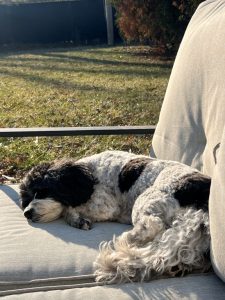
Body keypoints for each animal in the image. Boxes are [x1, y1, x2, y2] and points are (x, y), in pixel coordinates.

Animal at [19, 151, 211, 282]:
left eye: (42, 191)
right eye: (25, 199)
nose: (27, 213)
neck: (89, 173)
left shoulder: (105, 204)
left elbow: (68, 208)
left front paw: (76, 219)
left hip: (150, 197)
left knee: (152, 225)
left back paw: (126, 240)